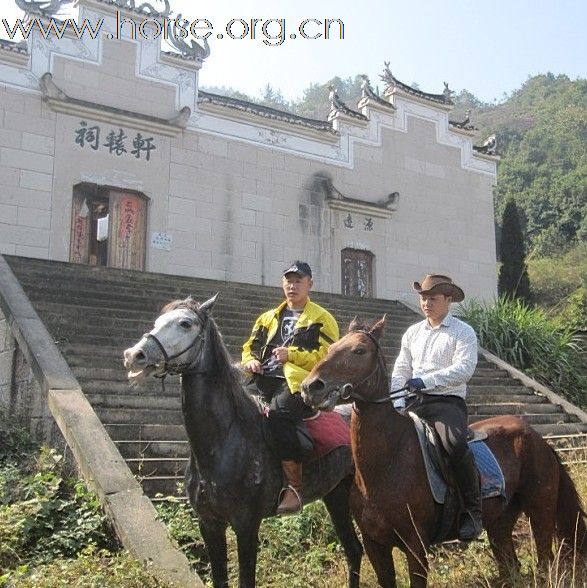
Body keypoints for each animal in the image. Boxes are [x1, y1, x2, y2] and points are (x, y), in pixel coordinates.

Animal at [300, 316, 584, 588]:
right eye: (330, 348)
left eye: (359, 350)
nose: (311, 387)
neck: (388, 462)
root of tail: (538, 437)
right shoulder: (375, 545)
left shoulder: (415, 545)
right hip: (500, 522)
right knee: (510, 566)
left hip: (540, 510)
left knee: (545, 562)